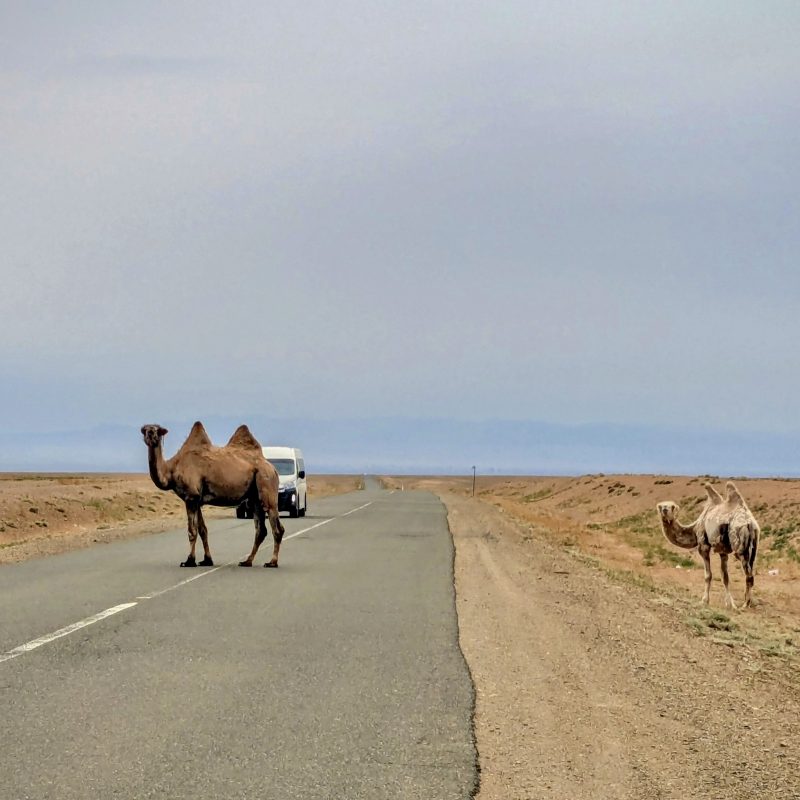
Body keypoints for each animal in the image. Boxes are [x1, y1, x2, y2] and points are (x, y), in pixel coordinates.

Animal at [141, 421, 285, 568]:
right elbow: (203, 530)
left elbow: (192, 531)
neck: (172, 469)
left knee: (277, 526)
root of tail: (272, 468)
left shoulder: (191, 497)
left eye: (158, 430)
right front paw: (207, 560)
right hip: (255, 497)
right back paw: (247, 561)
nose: (150, 434)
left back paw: (272, 562)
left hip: (266, 482)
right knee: (260, 530)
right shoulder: (196, 500)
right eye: (145, 430)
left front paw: (189, 561)